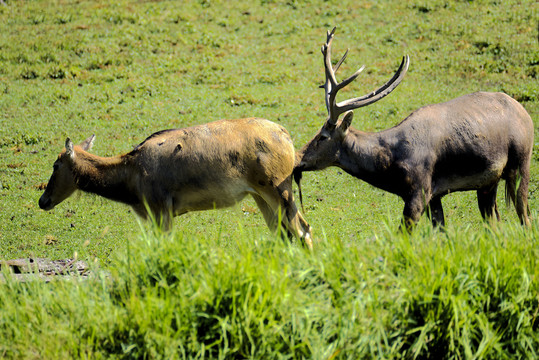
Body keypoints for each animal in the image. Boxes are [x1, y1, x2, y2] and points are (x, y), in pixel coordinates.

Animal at [40, 118, 314, 248]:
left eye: (55, 165)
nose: (43, 200)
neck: (131, 171)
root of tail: (286, 136)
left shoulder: (161, 211)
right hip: (260, 196)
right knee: (285, 234)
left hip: (278, 191)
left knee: (303, 230)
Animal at [296, 28, 536, 231]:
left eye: (322, 136)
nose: (299, 159)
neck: (390, 169)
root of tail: (525, 113)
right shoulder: (434, 196)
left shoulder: (419, 192)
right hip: (488, 183)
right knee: (495, 222)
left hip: (522, 162)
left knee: (525, 215)